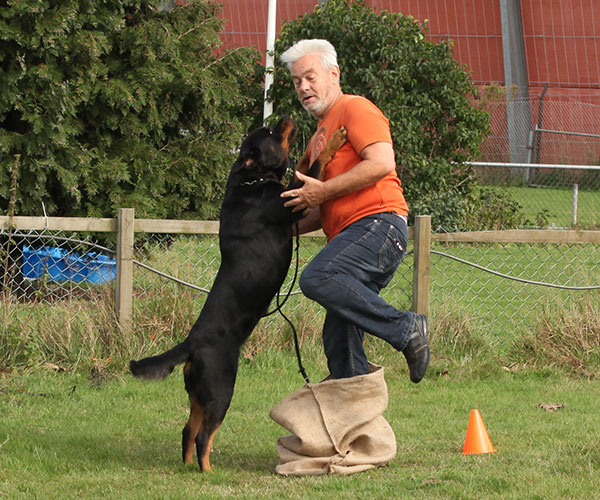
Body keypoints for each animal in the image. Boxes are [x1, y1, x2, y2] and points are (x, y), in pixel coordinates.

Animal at [131, 115, 346, 470]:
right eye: (270, 132)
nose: (285, 117)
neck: (251, 181)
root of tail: (190, 344)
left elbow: (303, 165)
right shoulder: (293, 200)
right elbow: (314, 167)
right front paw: (335, 140)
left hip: (199, 395)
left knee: (188, 430)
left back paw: (189, 467)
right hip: (221, 389)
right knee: (204, 435)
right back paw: (208, 471)